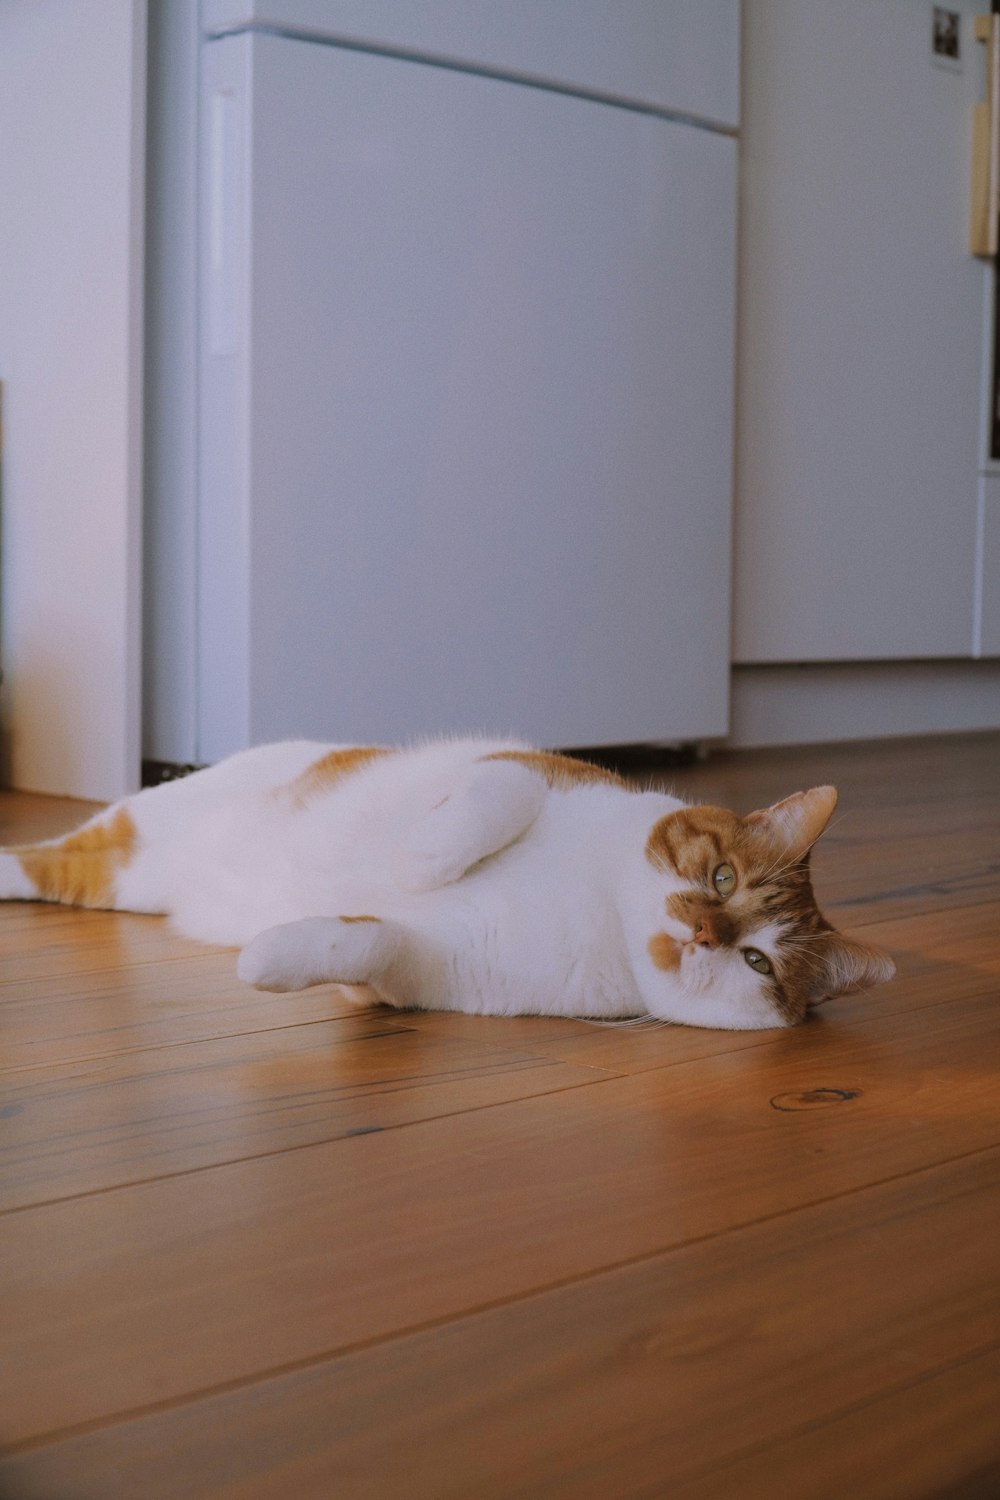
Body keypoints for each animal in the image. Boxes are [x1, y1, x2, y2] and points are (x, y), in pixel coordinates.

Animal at [0, 738, 893, 1032]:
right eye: (721, 874)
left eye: (758, 962)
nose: (701, 932)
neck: (601, 907)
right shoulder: (520, 766)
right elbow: (505, 793)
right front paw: (416, 864)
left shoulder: (424, 972)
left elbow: (370, 942)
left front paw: (271, 957)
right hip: (155, 811)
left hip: (122, 878)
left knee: (60, 866)